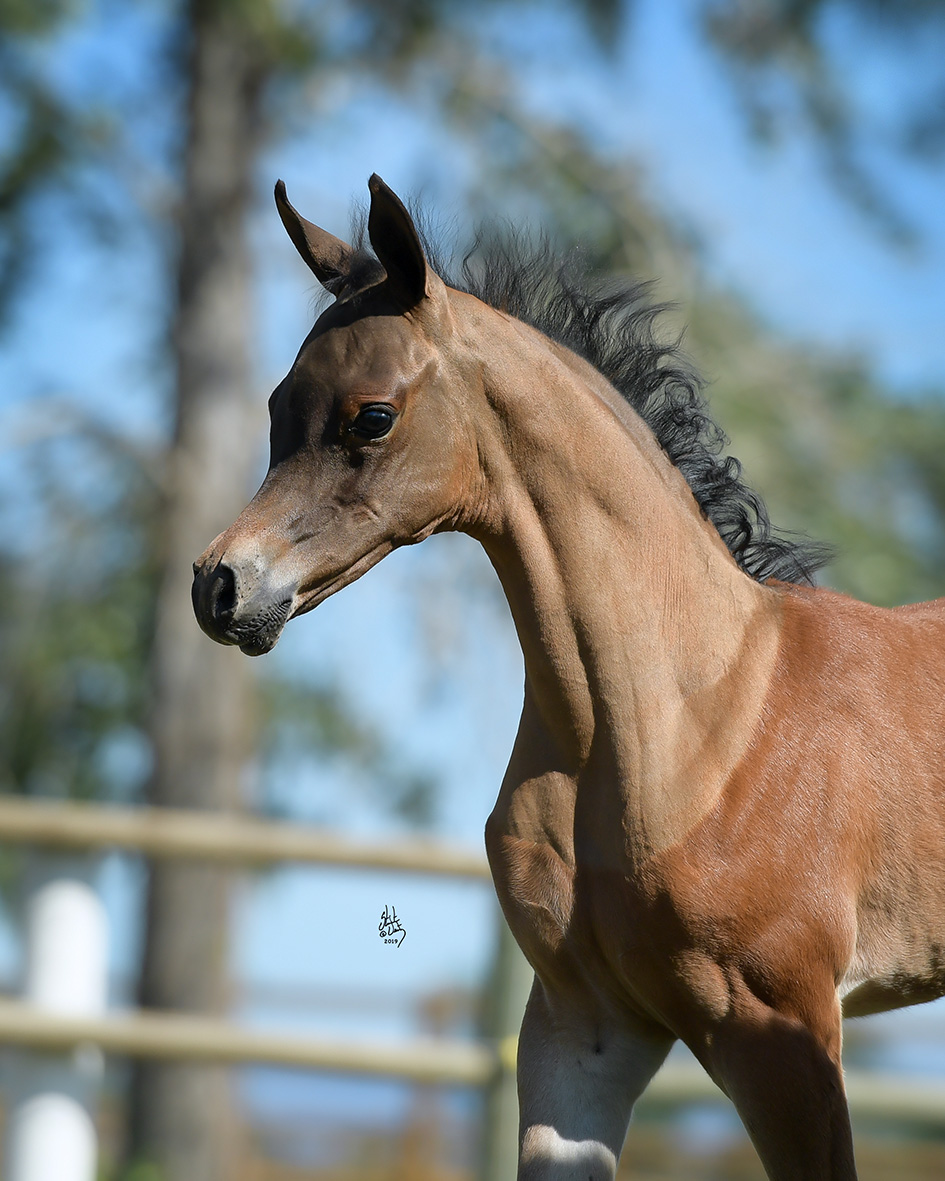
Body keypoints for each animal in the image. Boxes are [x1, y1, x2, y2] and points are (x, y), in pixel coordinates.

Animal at [192, 174, 945, 1181]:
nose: (219, 585)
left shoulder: (782, 1033)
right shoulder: (581, 1027)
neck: (689, 720)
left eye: (372, 416)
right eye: (277, 406)